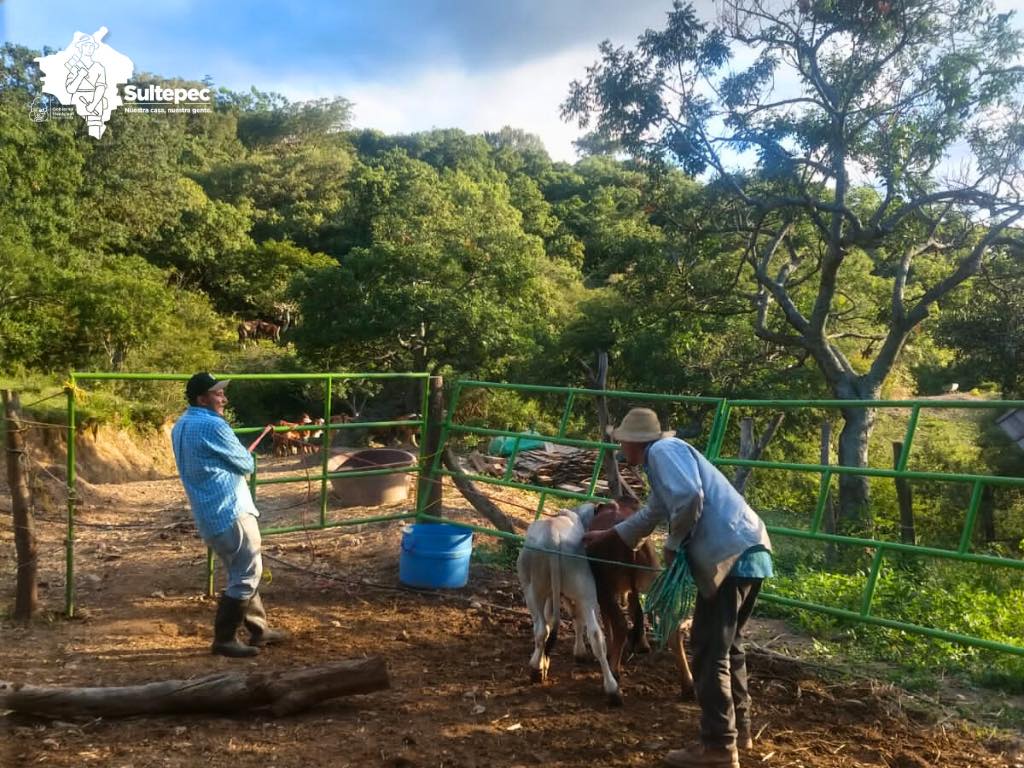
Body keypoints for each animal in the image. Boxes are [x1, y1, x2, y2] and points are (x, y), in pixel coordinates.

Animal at [516, 501, 618, 708]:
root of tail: (553, 535)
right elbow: (575, 619)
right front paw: (577, 653)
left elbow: (552, 620)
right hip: (585, 591)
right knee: (596, 634)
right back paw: (612, 689)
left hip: (532, 590)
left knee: (541, 629)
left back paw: (535, 668)